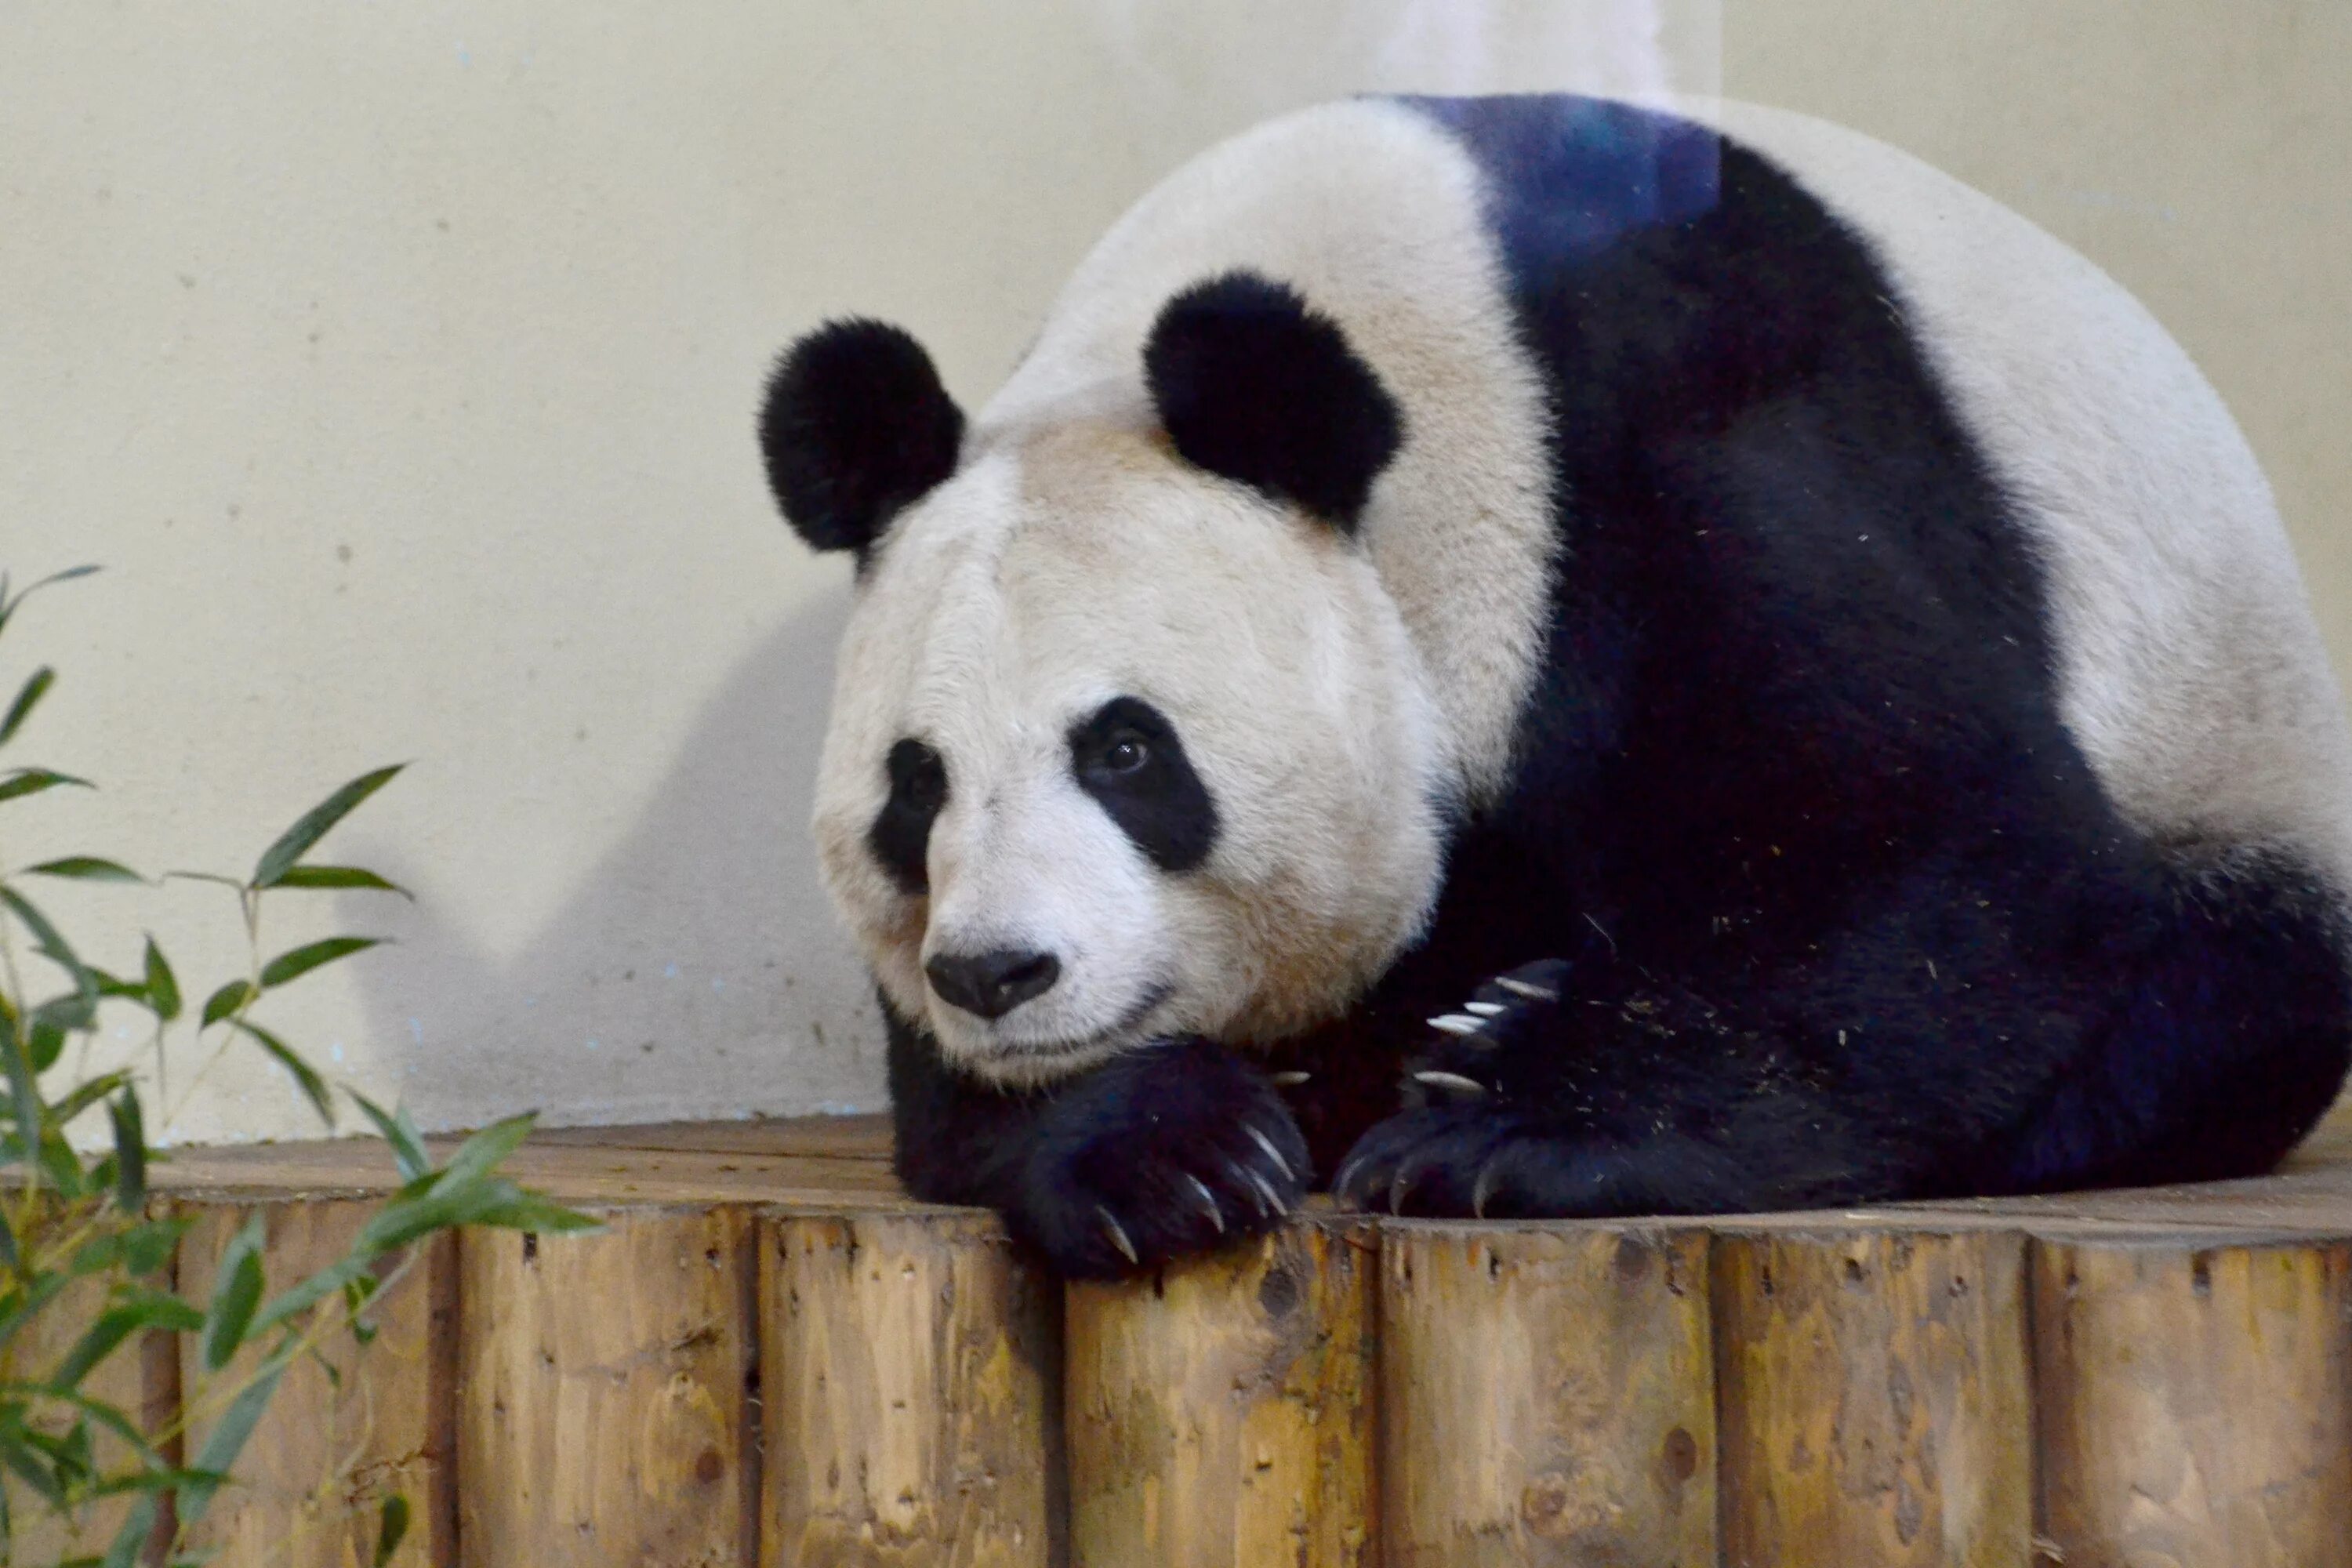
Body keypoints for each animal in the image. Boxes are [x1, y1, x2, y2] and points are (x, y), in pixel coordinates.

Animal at [756, 94, 2352, 1279]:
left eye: (1128, 753)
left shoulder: (1654, 452)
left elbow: (1942, 846)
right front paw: (1176, 1152)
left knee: (2189, 1008)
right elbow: (961, 1099)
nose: (999, 972)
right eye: (914, 788)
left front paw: (1498, 1121)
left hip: (2233, 761)